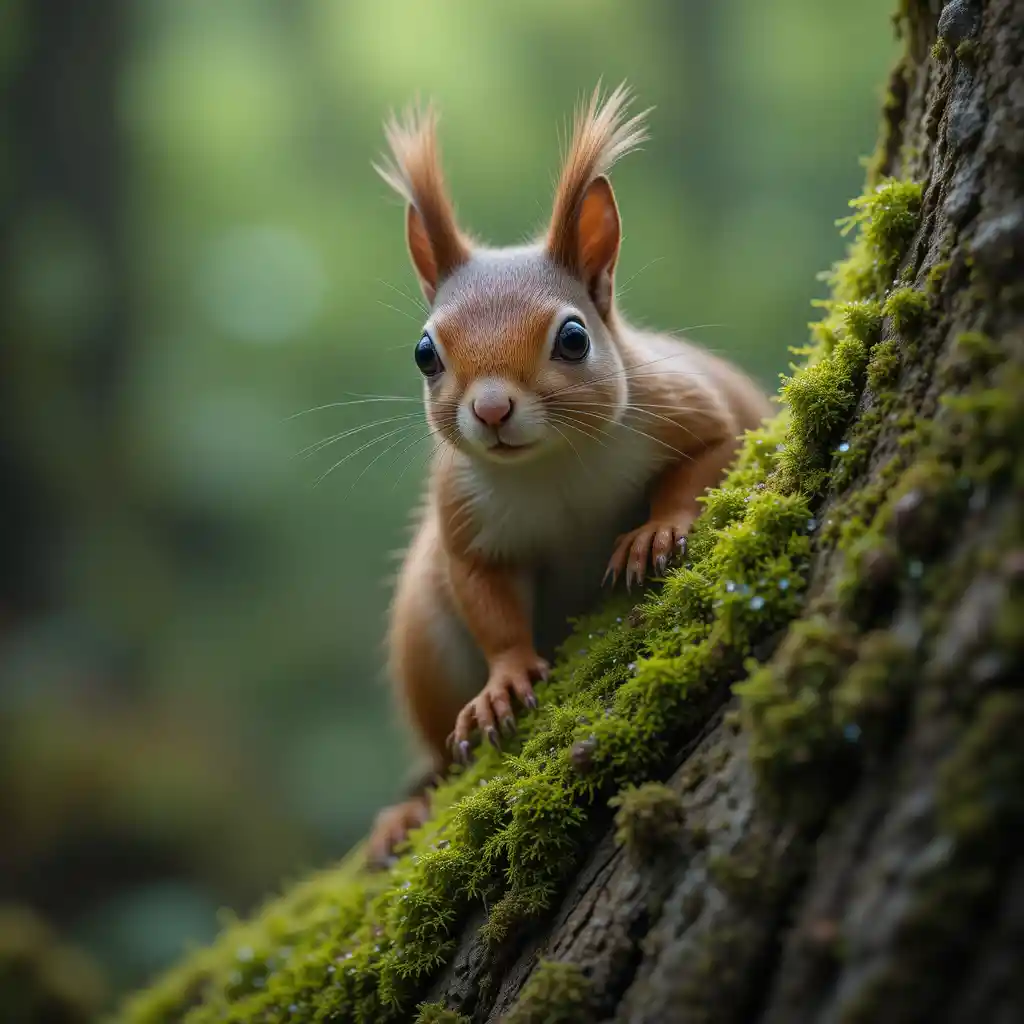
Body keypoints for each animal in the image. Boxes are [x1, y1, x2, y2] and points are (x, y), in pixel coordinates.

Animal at [366, 84, 772, 864]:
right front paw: (504, 681)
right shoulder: (464, 517)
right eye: (425, 353)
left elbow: (704, 461)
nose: (491, 410)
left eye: (575, 338)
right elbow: (487, 597)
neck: (555, 466)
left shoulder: (691, 408)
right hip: (424, 638)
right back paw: (405, 813)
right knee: (434, 754)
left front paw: (655, 533)